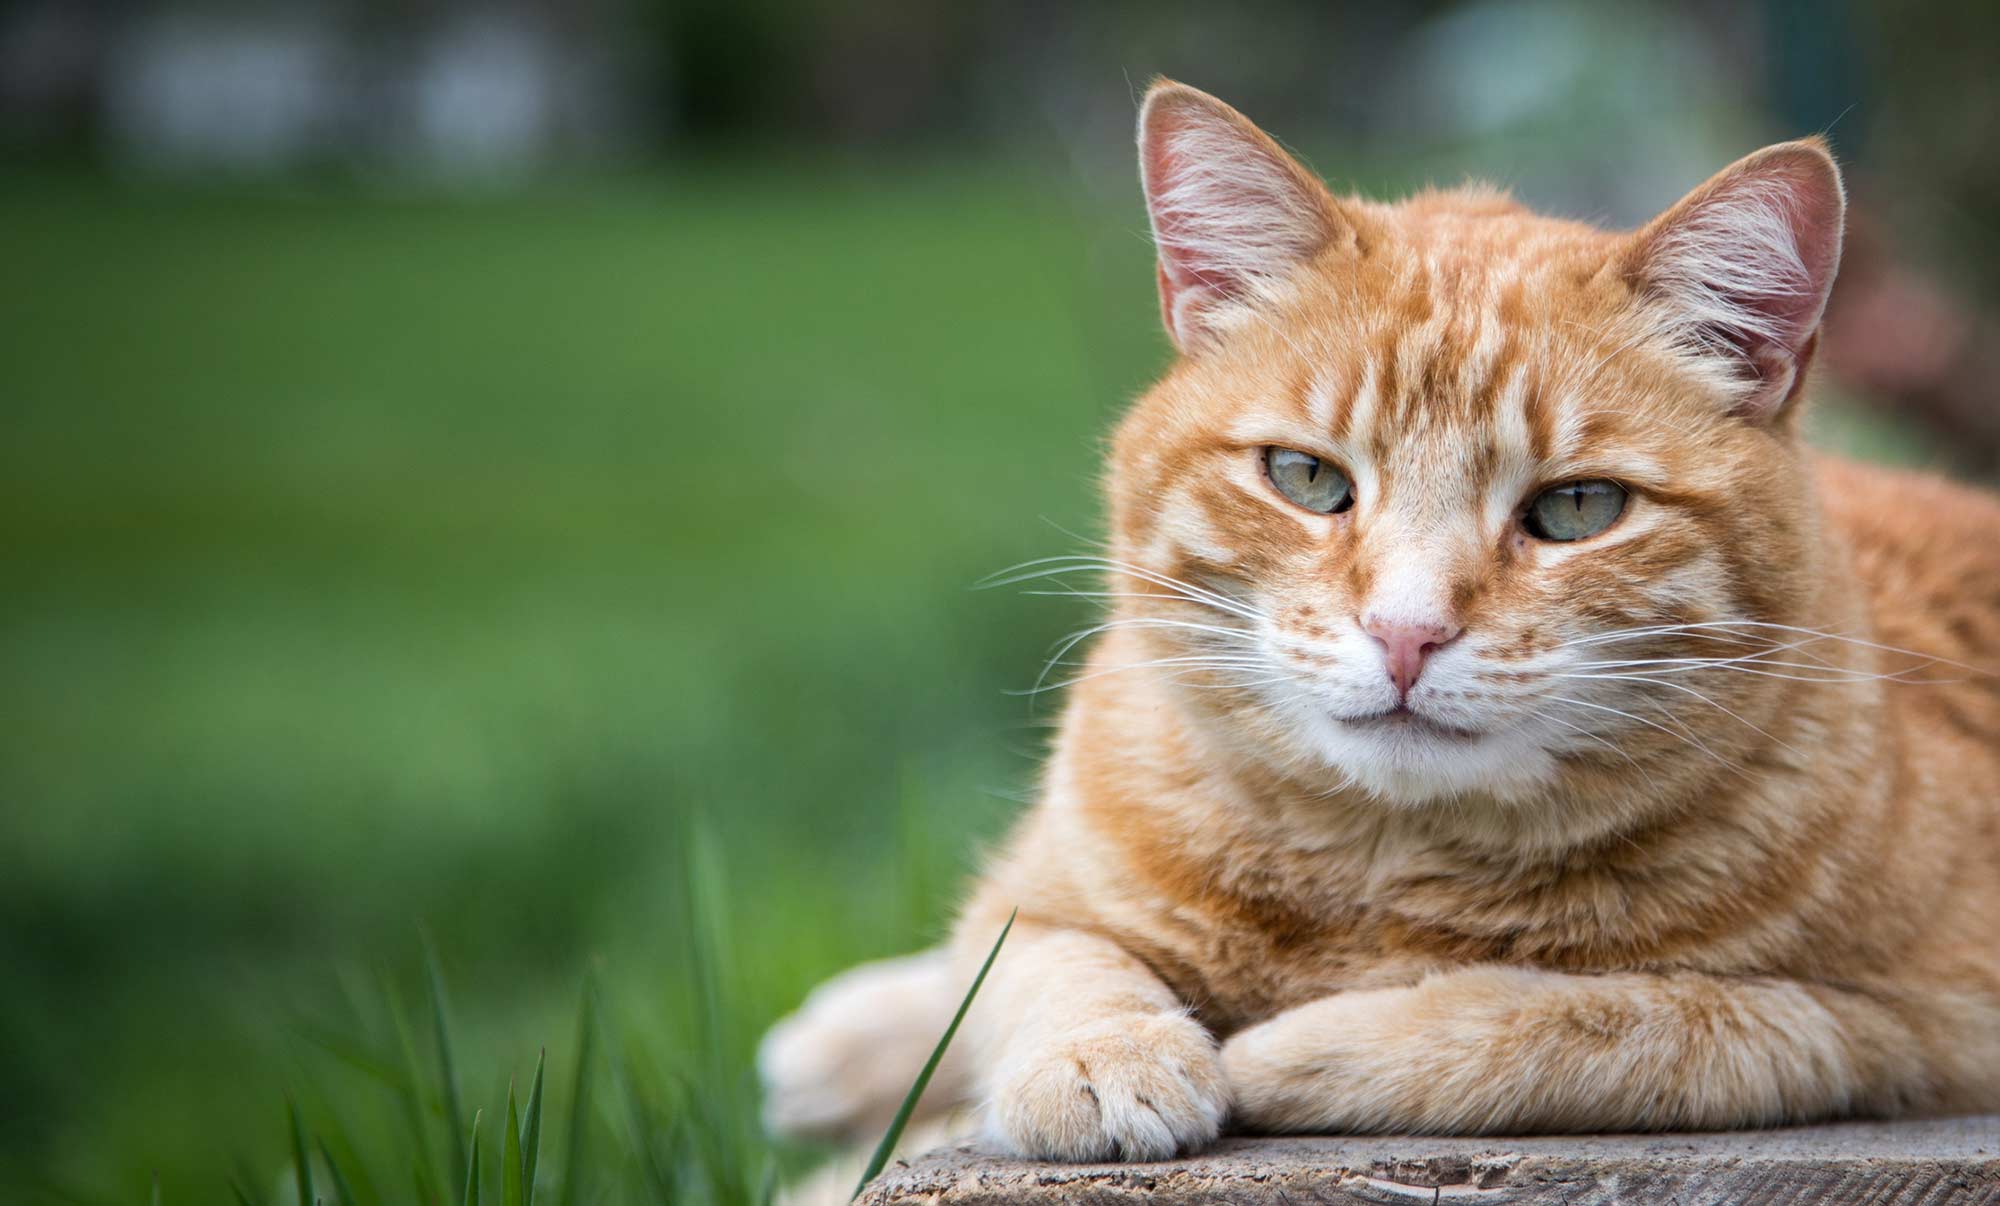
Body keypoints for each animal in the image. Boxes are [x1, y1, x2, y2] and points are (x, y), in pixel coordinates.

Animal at [752, 78, 2000, 1168]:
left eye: (1576, 510)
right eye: (1305, 478)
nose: (1406, 632)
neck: (1368, 872)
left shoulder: (1885, 1030)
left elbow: (1568, 1023)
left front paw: (1281, 1048)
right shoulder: (1058, 889)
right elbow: (1048, 957)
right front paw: (1104, 1054)